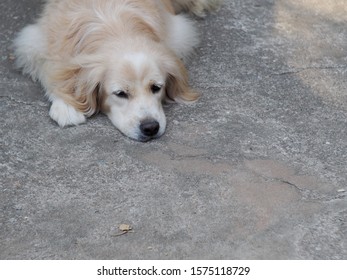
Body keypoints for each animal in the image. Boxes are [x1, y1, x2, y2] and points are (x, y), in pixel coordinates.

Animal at [14, 0, 223, 140]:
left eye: (156, 88)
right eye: (120, 94)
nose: (150, 128)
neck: (116, 28)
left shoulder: (178, 35)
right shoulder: (33, 42)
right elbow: (53, 73)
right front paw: (66, 105)